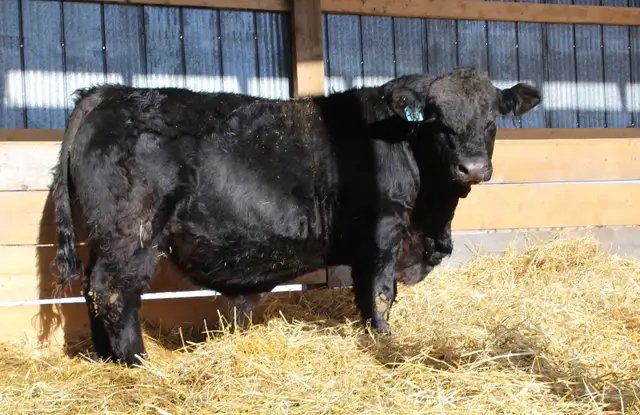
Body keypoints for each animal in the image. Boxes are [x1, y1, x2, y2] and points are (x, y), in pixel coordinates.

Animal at [51, 66, 541, 365]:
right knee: (114, 292)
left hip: (106, 237)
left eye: (492, 119)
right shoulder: (383, 233)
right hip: (132, 233)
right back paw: (139, 362)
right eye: (437, 120)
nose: (472, 168)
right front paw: (385, 341)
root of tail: (109, 92)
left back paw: (106, 359)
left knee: (94, 290)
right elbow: (380, 293)